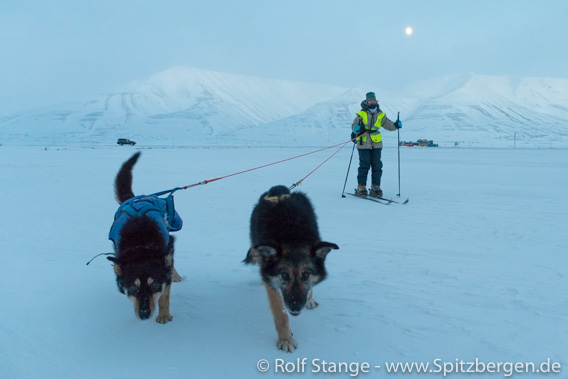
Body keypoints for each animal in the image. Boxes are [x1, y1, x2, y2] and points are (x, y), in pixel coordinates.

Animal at [108, 153, 182, 326]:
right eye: (132, 288)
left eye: (154, 285)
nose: (143, 314)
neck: (141, 244)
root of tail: (137, 198)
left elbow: (164, 295)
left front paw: (163, 315)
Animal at [244, 186, 338, 352]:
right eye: (284, 275)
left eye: (306, 275)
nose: (295, 307)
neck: (292, 235)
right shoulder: (272, 281)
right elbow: (279, 313)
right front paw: (285, 339)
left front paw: (309, 298)